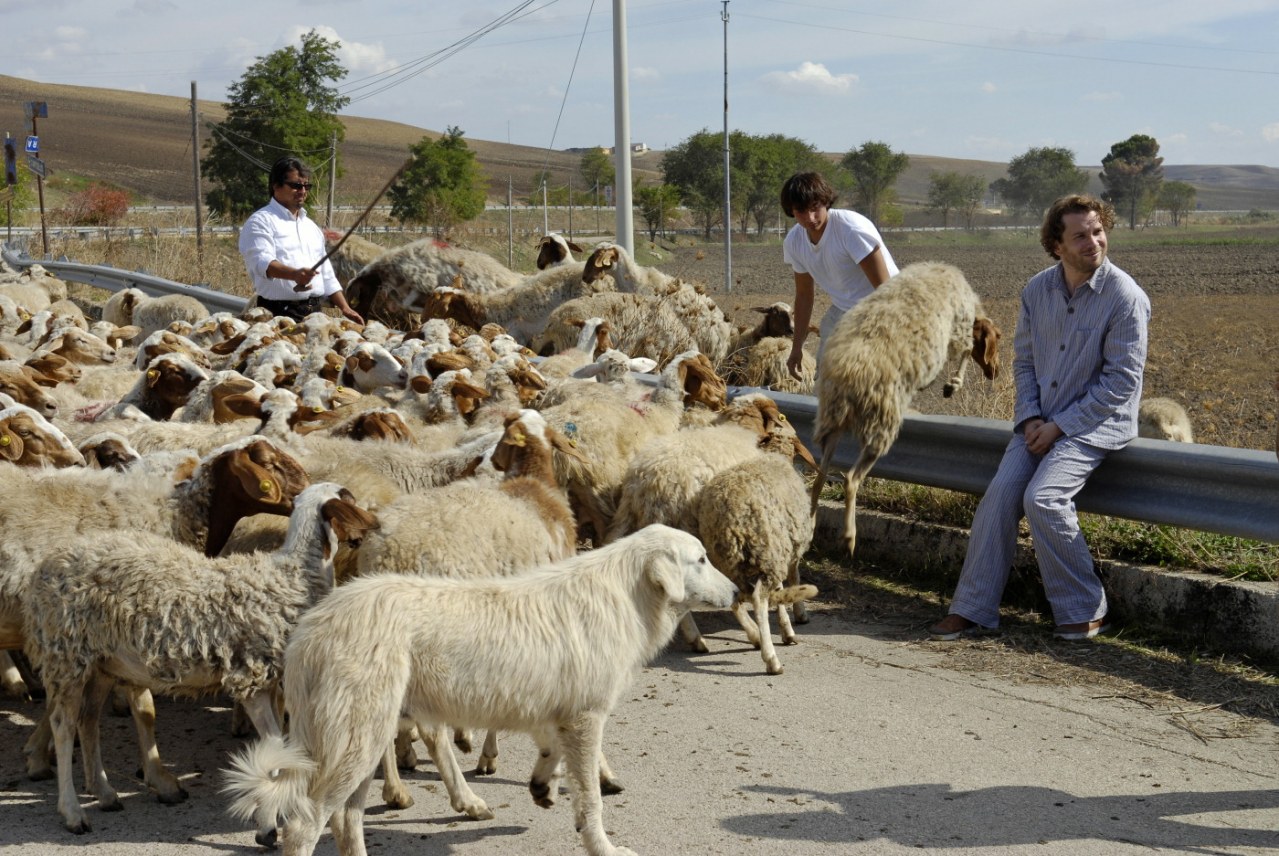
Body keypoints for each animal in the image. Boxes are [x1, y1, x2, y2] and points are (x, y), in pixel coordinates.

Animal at [27, 481, 376, 834]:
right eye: (349, 499)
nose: (367, 532)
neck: (294, 576)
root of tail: (46, 565)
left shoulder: (268, 681)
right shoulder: (250, 679)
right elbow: (276, 747)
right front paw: (268, 821)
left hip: (102, 662)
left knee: (88, 720)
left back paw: (105, 793)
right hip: (66, 654)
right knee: (63, 726)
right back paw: (73, 812)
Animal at [808, 258, 997, 555]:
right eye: (997, 338)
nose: (995, 372)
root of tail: (846, 379)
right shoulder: (959, 328)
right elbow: (966, 352)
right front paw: (952, 384)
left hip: (831, 424)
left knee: (820, 477)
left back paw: (811, 524)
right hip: (881, 422)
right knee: (851, 479)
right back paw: (849, 537)